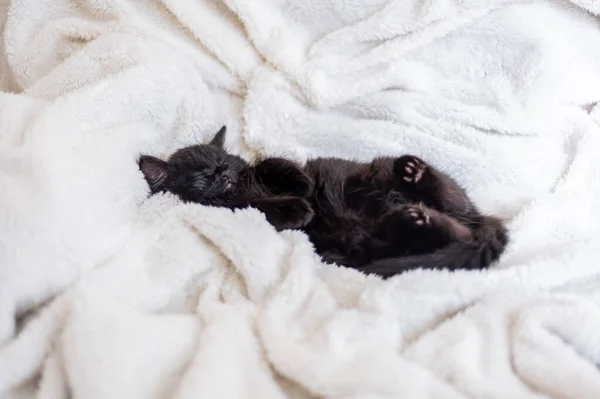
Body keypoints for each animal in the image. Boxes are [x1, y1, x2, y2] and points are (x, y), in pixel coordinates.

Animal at [139, 126, 506, 276]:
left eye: (224, 161)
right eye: (201, 176)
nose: (222, 172)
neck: (244, 188)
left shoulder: (262, 169)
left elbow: (276, 164)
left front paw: (302, 185)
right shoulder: (232, 207)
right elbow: (259, 206)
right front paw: (298, 207)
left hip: (383, 171)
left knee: (454, 207)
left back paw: (415, 174)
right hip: (372, 242)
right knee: (448, 234)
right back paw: (416, 219)